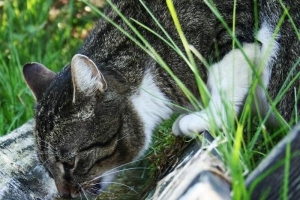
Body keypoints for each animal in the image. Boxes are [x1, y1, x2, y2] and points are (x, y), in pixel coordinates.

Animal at [22, 0, 298, 198]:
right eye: (47, 169)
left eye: (69, 163)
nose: (64, 195)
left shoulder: (233, 28)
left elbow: (225, 79)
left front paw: (203, 117)